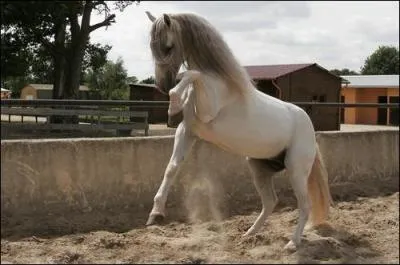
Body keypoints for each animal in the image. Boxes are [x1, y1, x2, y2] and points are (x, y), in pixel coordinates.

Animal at [143, 10, 332, 250]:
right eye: (151, 47)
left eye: (168, 46)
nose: (161, 85)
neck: (218, 83)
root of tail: (309, 127)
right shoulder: (187, 131)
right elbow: (172, 168)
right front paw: (155, 214)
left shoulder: (207, 112)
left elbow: (192, 73)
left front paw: (173, 105)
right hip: (259, 167)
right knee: (270, 202)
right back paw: (249, 234)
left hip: (296, 170)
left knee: (305, 204)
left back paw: (292, 243)